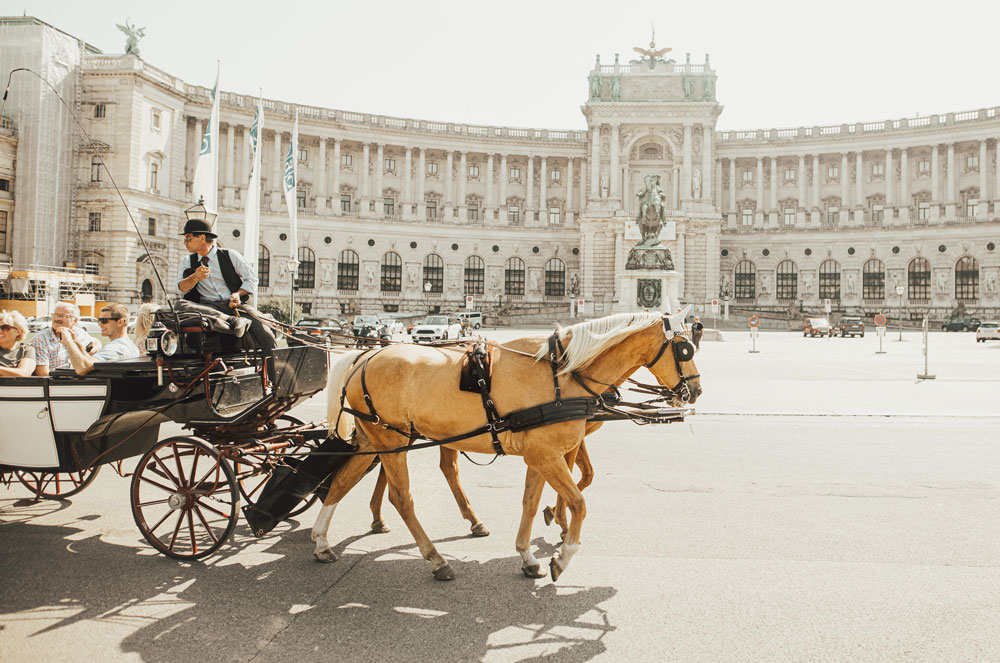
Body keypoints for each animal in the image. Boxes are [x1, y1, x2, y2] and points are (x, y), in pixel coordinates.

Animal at [308, 310, 700, 580]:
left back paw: (323, 541)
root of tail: (364, 355)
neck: (562, 375)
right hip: (392, 438)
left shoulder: (540, 455)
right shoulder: (548, 454)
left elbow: (531, 502)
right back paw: (436, 559)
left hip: (376, 438)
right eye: (684, 349)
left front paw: (528, 556)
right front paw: (563, 554)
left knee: (343, 480)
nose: (694, 391)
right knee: (402, 497)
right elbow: (579, 501)